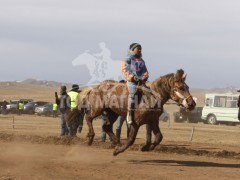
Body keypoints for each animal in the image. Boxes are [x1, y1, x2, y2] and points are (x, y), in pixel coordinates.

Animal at [68, 69, 196, 156]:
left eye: (188, 87)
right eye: (180, 88)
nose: (192, 104)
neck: (150, 97)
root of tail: (96, 87)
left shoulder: (153, 121)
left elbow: (159, 137)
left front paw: (145, 148)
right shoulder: (136, 123)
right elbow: (131, 140)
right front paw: (118, 151)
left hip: (113, 113)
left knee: (106, 126)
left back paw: (116, 142)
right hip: (97, 109)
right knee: (88, 118)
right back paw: (91, 137)